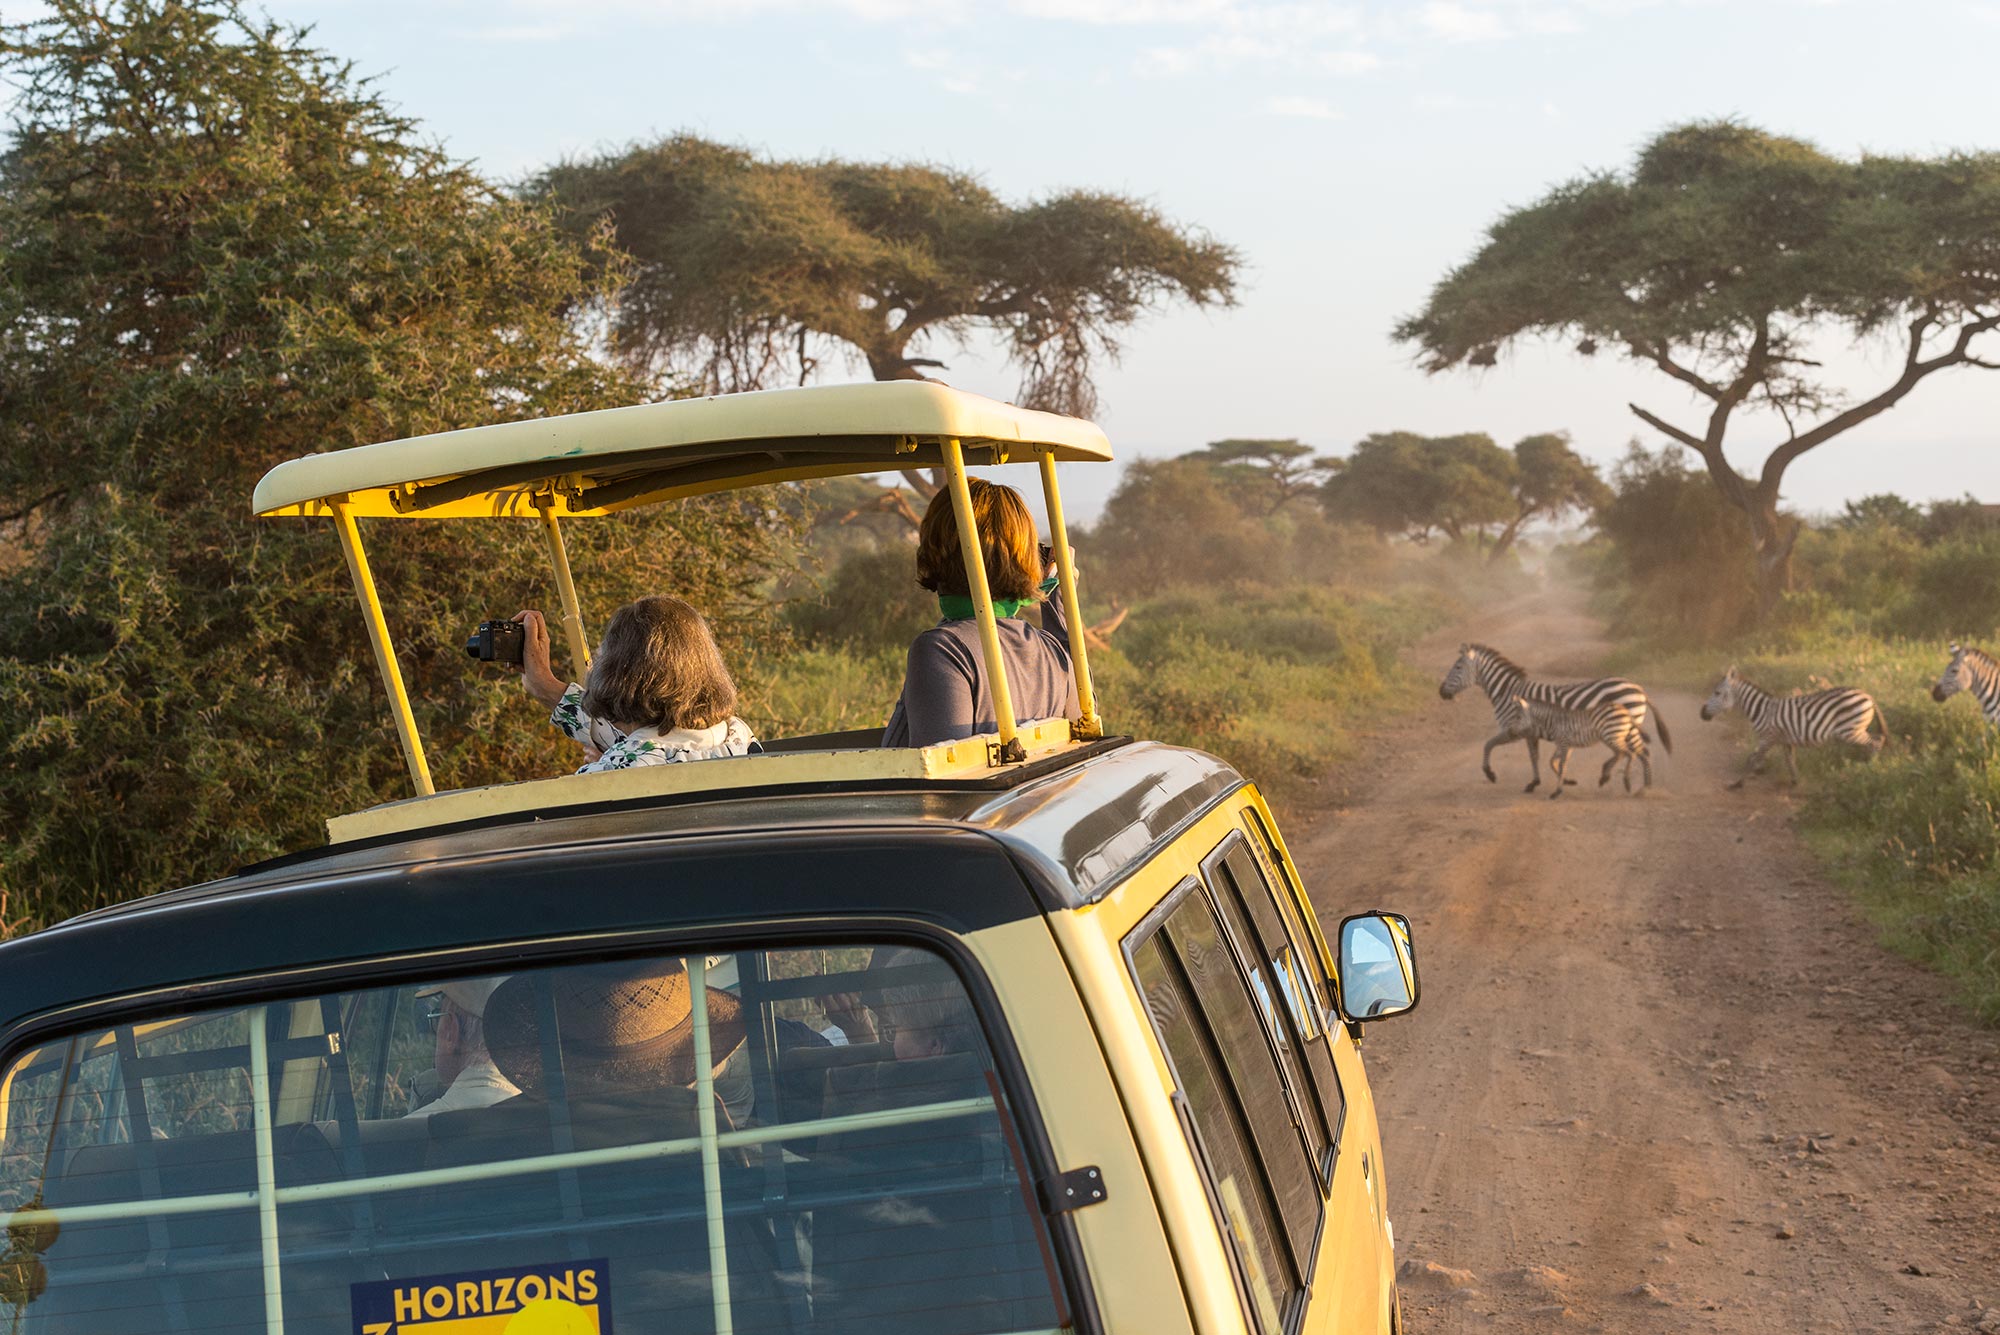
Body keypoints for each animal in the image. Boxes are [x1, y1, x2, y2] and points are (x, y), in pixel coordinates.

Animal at [1520, 695, 1648, 799]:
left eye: (1517, 716)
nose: (1521, 734)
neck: (1554, 721)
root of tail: (1623, 709)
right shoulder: (1565, 745)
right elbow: (1553, 762)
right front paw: (1568, 782)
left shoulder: (1564, 743)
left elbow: (1561, 765)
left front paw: (1557, 791)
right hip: (1611, 737)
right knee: (1621, 753)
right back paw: (1604, 777)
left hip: (1611, 736)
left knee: (1629, 754)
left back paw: (1626, 782)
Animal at [1696, 663, 1880, 787]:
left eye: (1717, 693)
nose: (1702, 714)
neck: (1763, 710)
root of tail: (1868, 696)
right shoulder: (1785, 740)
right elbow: (1789, 761)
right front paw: (1795, 781)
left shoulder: (1768, 737)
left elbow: (1753, 759)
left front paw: (1738, 783)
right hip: (1853, 730)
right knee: (1876, 740)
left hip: (1850, 731)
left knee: (1876, 742)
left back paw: (1871, 768)